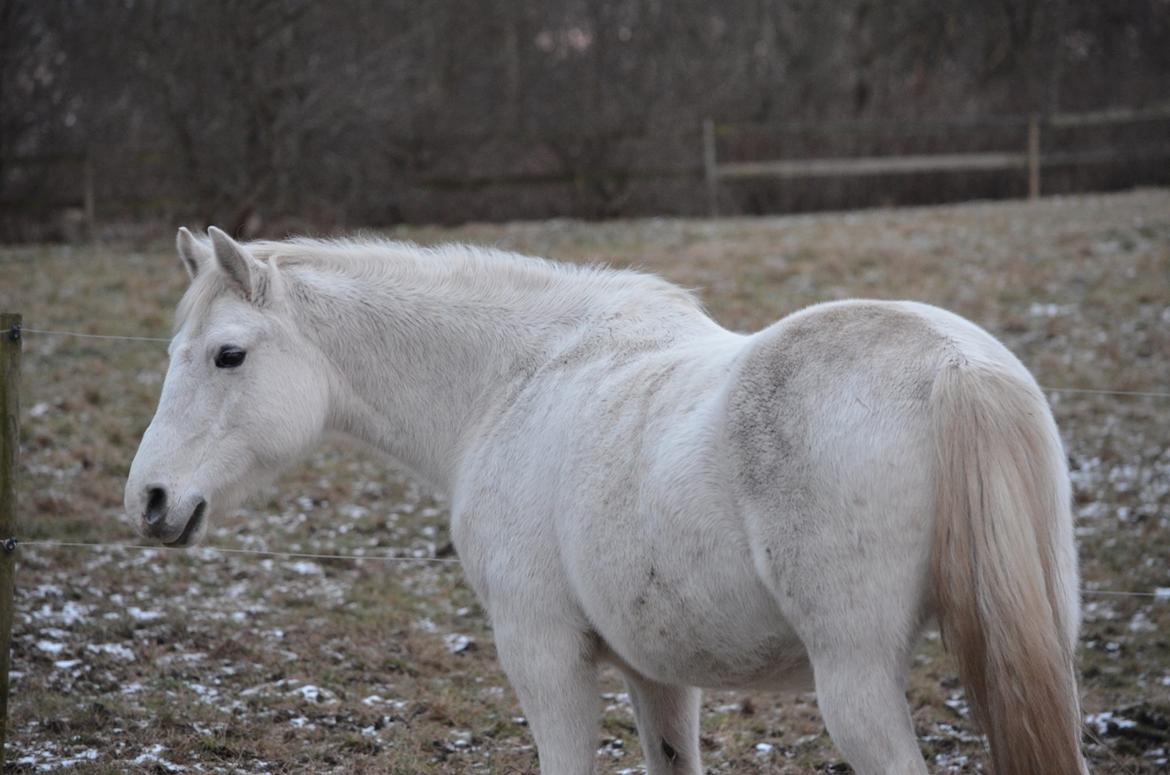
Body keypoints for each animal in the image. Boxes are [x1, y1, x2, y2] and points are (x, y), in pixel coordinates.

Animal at [123, 228, 1081, 775]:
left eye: (228, 354)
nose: (150, 498)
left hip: (855, 681)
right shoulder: (657, 670)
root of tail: (956, 368)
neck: (514, 381)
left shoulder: (544, 653)